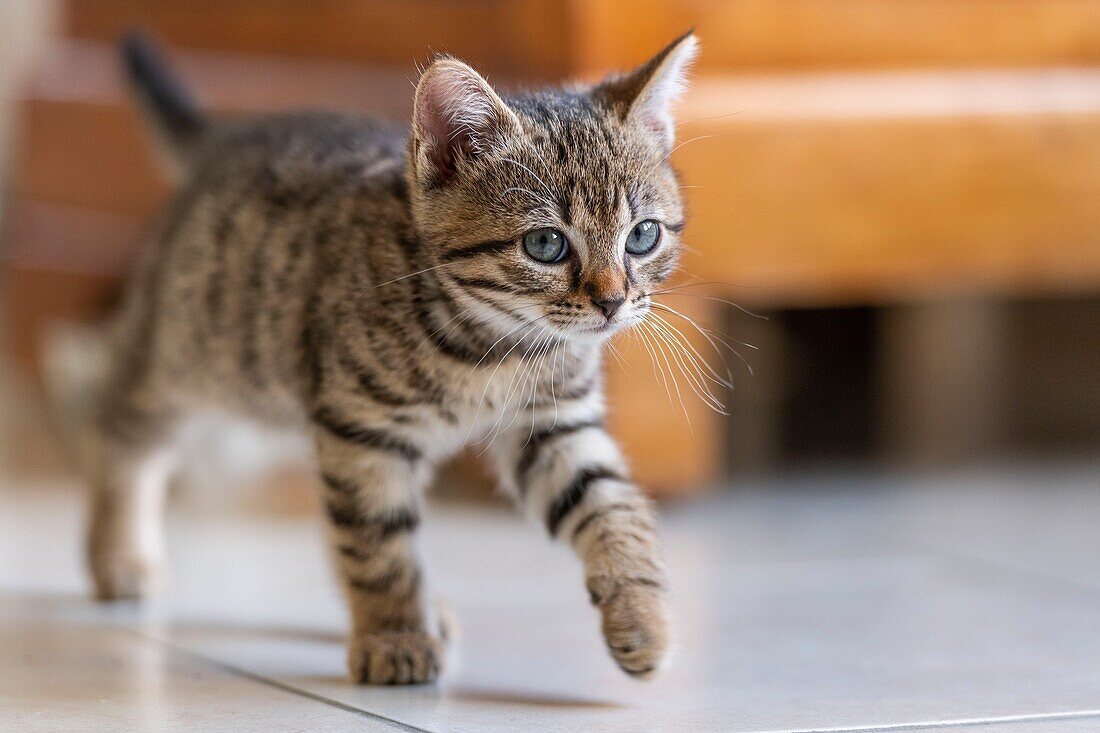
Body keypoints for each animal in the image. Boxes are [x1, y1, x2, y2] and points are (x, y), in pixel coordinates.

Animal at [85, 28, 699, 677]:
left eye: (642, 236)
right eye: (546, 244)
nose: (612, 301)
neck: (496, 347)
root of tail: (226, 135)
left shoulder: (554, 424)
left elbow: (611, 504)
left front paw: (642, 615)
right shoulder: (364, 429)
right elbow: (380, 544)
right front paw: (395, 635)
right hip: (191, 356)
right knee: (120, 429)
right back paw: (118, 555)